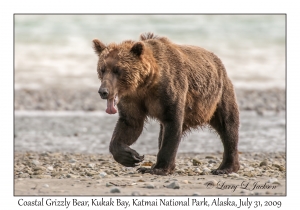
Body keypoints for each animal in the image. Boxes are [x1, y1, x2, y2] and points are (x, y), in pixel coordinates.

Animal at [92, 32, 240, 175]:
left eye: (117, 70)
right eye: (102, 69)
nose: (103, 91)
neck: (145, 84)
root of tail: (217, 59)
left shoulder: (170, 90)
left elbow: (172, 123)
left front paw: (158, 168)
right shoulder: (133, 98)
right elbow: (130, 123)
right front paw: (131, 156)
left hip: (218, 96)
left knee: (228, 126)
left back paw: (225, 167)